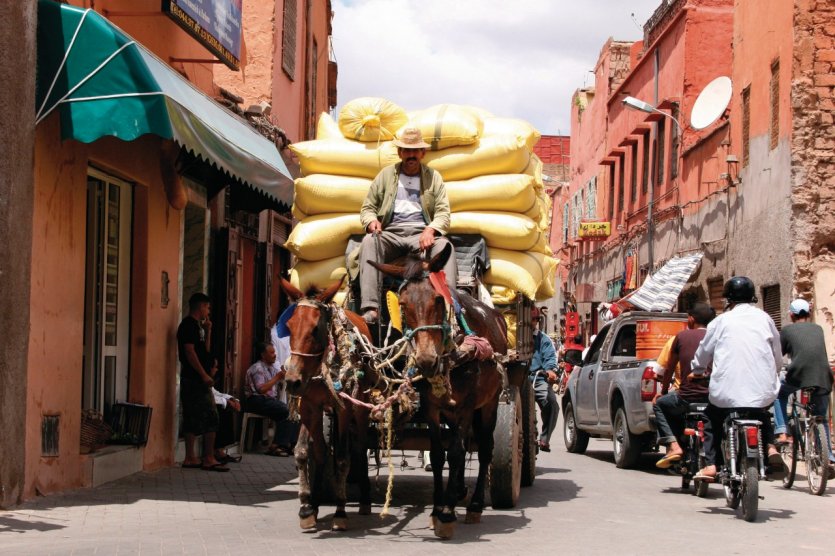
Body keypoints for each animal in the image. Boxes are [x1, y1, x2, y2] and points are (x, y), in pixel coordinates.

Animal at [280, 280, 374, 532]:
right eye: (289, 326)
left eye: (315, 329)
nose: (292, 381)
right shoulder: (309, 407)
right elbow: (308, 452)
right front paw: (308, 506)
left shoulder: (343, 408)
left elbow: (341, 457)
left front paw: (340, 511)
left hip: (360, 408)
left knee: (359, 447)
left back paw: (365, 500)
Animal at [372, 243, 510, 540]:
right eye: (402, 304)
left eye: (437, 299)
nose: (426, 361)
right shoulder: (431, 406)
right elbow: (438, 455)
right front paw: (438, 509)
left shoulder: (468, 405)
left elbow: (457, 452)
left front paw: (447, 514)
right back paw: (457, 491)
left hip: (491, 403)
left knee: (484, 448)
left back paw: (474, 505)